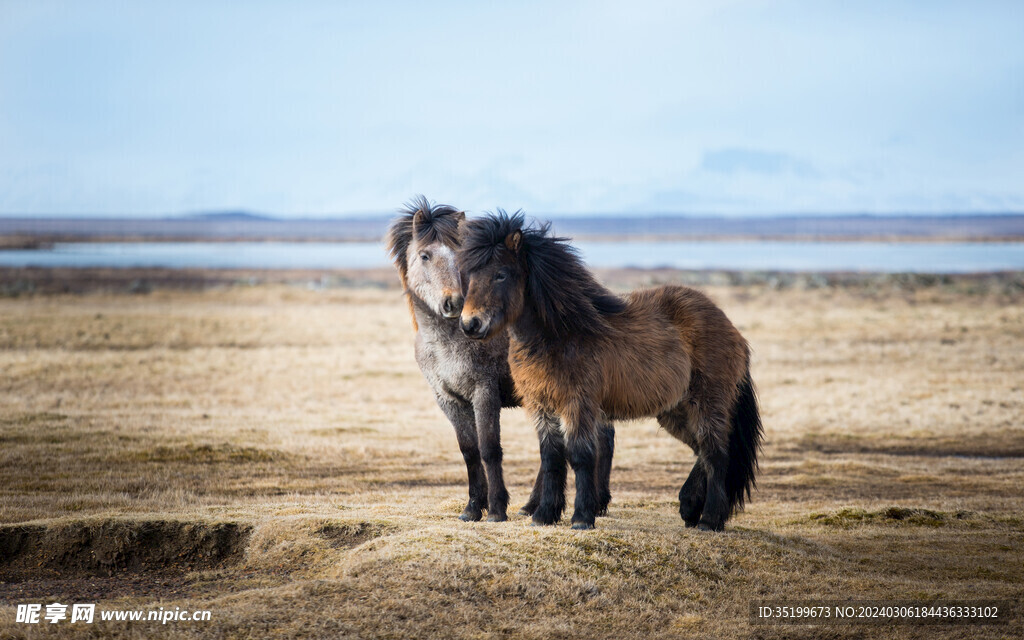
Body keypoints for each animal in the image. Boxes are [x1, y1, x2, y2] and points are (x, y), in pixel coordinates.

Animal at [460, 209, 765, 528]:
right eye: (470, 275)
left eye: (501, 274)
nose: (470, 324)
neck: (562, 333)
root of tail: (732, 330)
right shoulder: (541, 405)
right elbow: (551, 457)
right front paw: (544, 515)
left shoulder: (578, 404)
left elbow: (580, 455)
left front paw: (582, 517)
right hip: (675, 410)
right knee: (702, 452)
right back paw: (690, 507)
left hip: (707, 403)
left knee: (716, 454)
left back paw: (710, 519)